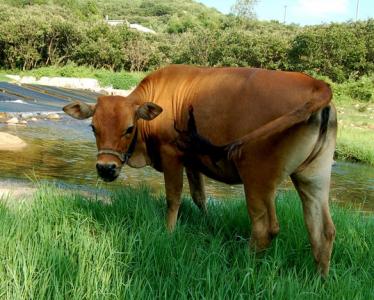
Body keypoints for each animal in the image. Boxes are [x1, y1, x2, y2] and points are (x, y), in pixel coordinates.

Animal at [62, 65, 338, 276]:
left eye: (129, 128)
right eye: (93, 127)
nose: (105, 168)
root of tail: (316, 84)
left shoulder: (171, 155)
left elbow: (174, 197)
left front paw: (169, 232)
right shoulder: (192, 162)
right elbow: (199, 197)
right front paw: (208, 225)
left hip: (257, 177)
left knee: (265, 229)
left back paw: (244, 268)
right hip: (313, 178)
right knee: (322, 230)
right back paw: (319, 280)